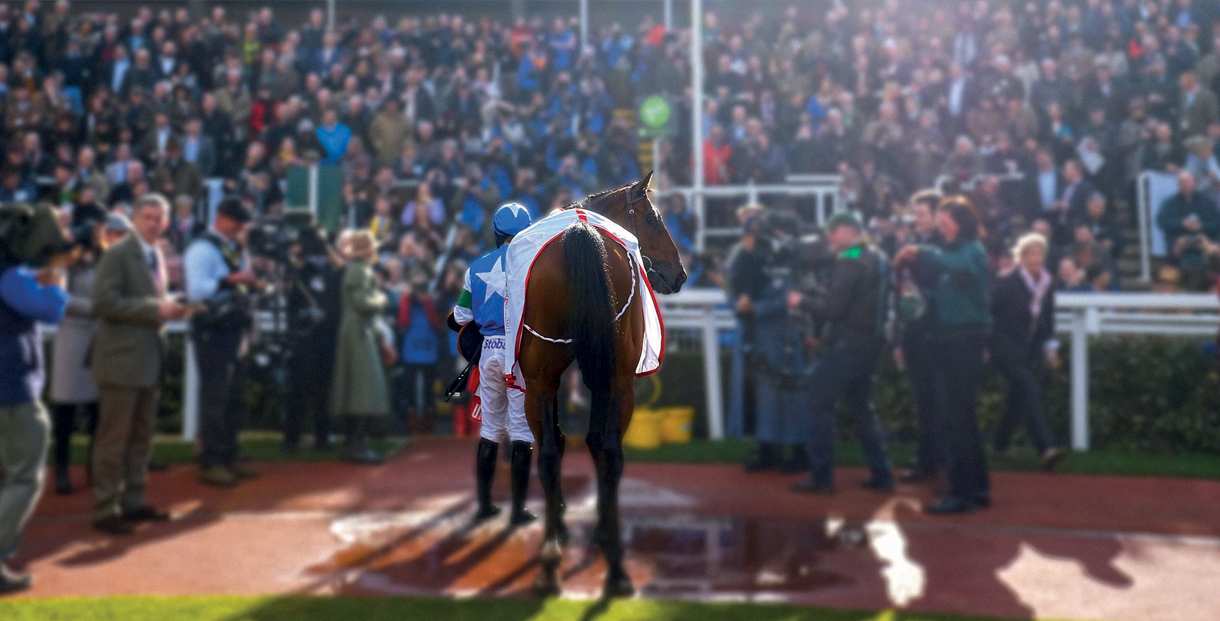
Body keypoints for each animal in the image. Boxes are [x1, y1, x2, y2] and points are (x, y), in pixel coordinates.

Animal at [517, 170, 688, 595]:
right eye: (652, 218)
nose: (680, 273)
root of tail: (581, 235)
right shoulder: (609, 380)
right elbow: (595, 444)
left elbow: (572, 443)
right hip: (613, 381)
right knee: (606, 453)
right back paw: (608, 565)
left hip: (548, 377)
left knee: (555, 454)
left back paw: (559, 562)